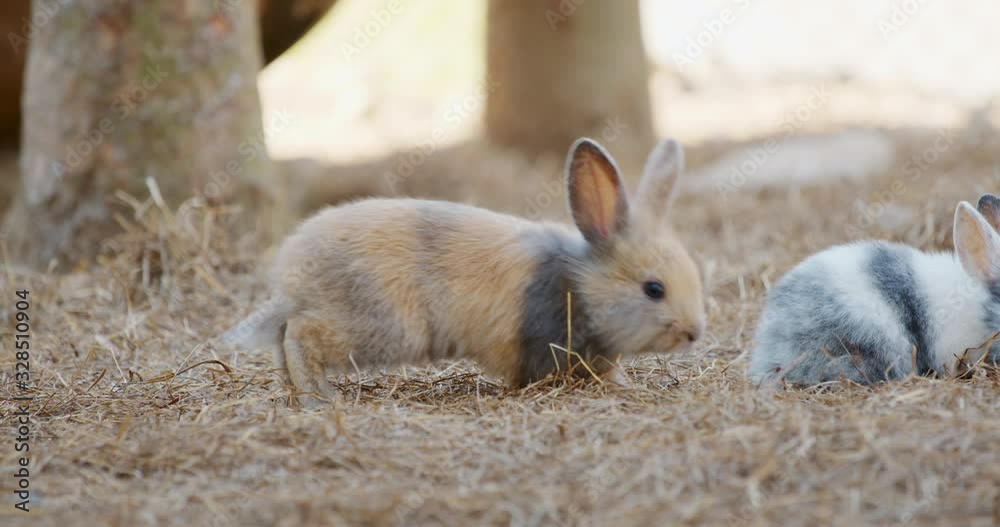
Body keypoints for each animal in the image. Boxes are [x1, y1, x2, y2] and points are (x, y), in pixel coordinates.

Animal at [222, 137, 707, 404]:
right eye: (654, 289)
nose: (693, 332)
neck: (583, 286)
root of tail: (292, 270)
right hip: (381, 327)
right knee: (298, 334)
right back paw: (319, 400)